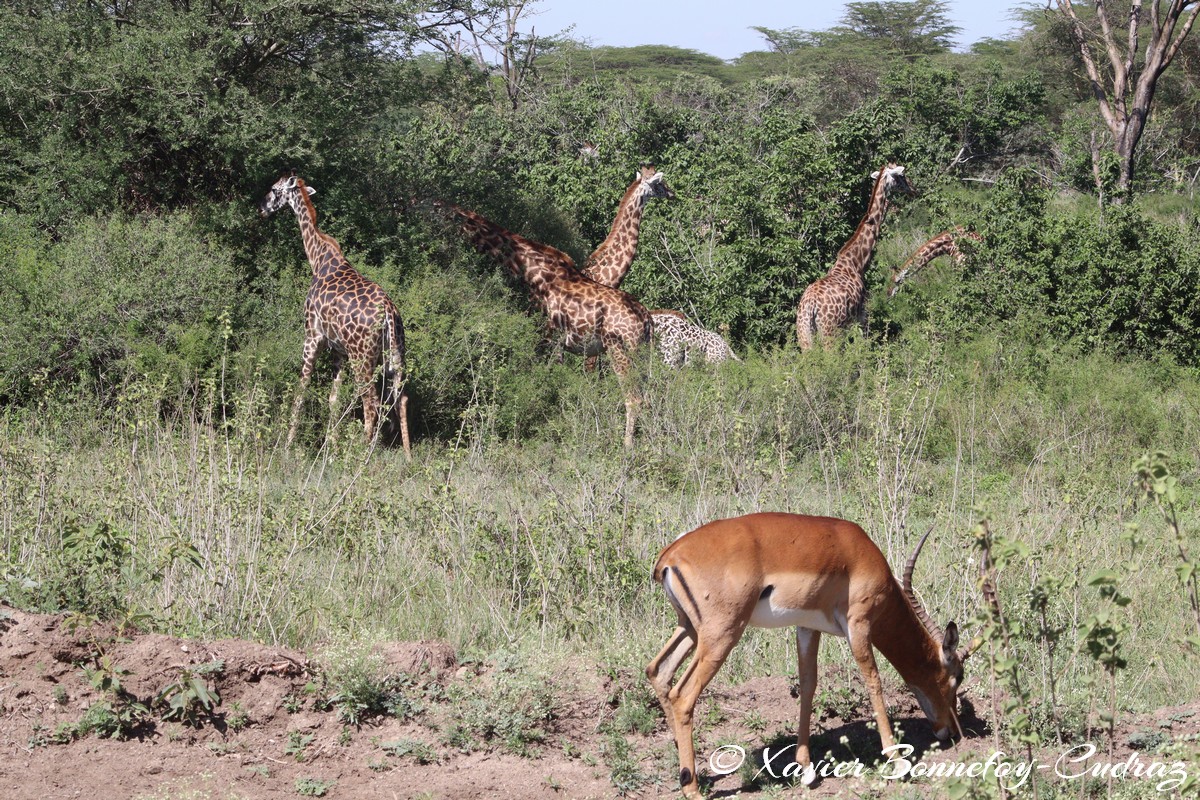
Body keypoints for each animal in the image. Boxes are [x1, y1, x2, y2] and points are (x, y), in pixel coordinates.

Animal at [258, 173, 411, 456]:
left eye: (274, 189)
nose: (261, 208)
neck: (317, 258)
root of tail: (388, 312)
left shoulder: (312, 336)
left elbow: (301, 390)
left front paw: (287, 444)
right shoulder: (338, 349)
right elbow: (333, 398)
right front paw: (331, 447)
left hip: (362, 357)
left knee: (371, 401)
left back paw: (362, 452)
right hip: (395, 353)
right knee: (400, 397)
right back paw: (406, 455)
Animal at [446, 203, 651, 448]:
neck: (533, 270)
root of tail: (646, 319)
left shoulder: (551, 339)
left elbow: (550, 382)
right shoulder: (556, 343)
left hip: (618, 348)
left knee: (634, 397)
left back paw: (627, 446)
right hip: (640, 353)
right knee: (650, 394)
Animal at [646, 512, 975, 797]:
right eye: (957, 676)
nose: (953, 731)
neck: (857, 552)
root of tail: (670, 556)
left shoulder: (807, 627)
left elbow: (808, 685)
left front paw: (805, 770)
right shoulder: (859, 625)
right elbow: (874, 682)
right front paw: (898, 762)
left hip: (690, 629)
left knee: (657, 670)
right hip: (721, 635)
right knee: (682, 695)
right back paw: (691, 787)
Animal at [796, 163, 915, 350]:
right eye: (902, 176)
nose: (913, 190)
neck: (857, 262)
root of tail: (810, 306)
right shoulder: (862, 316)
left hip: (804, 335)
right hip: (830, 333)